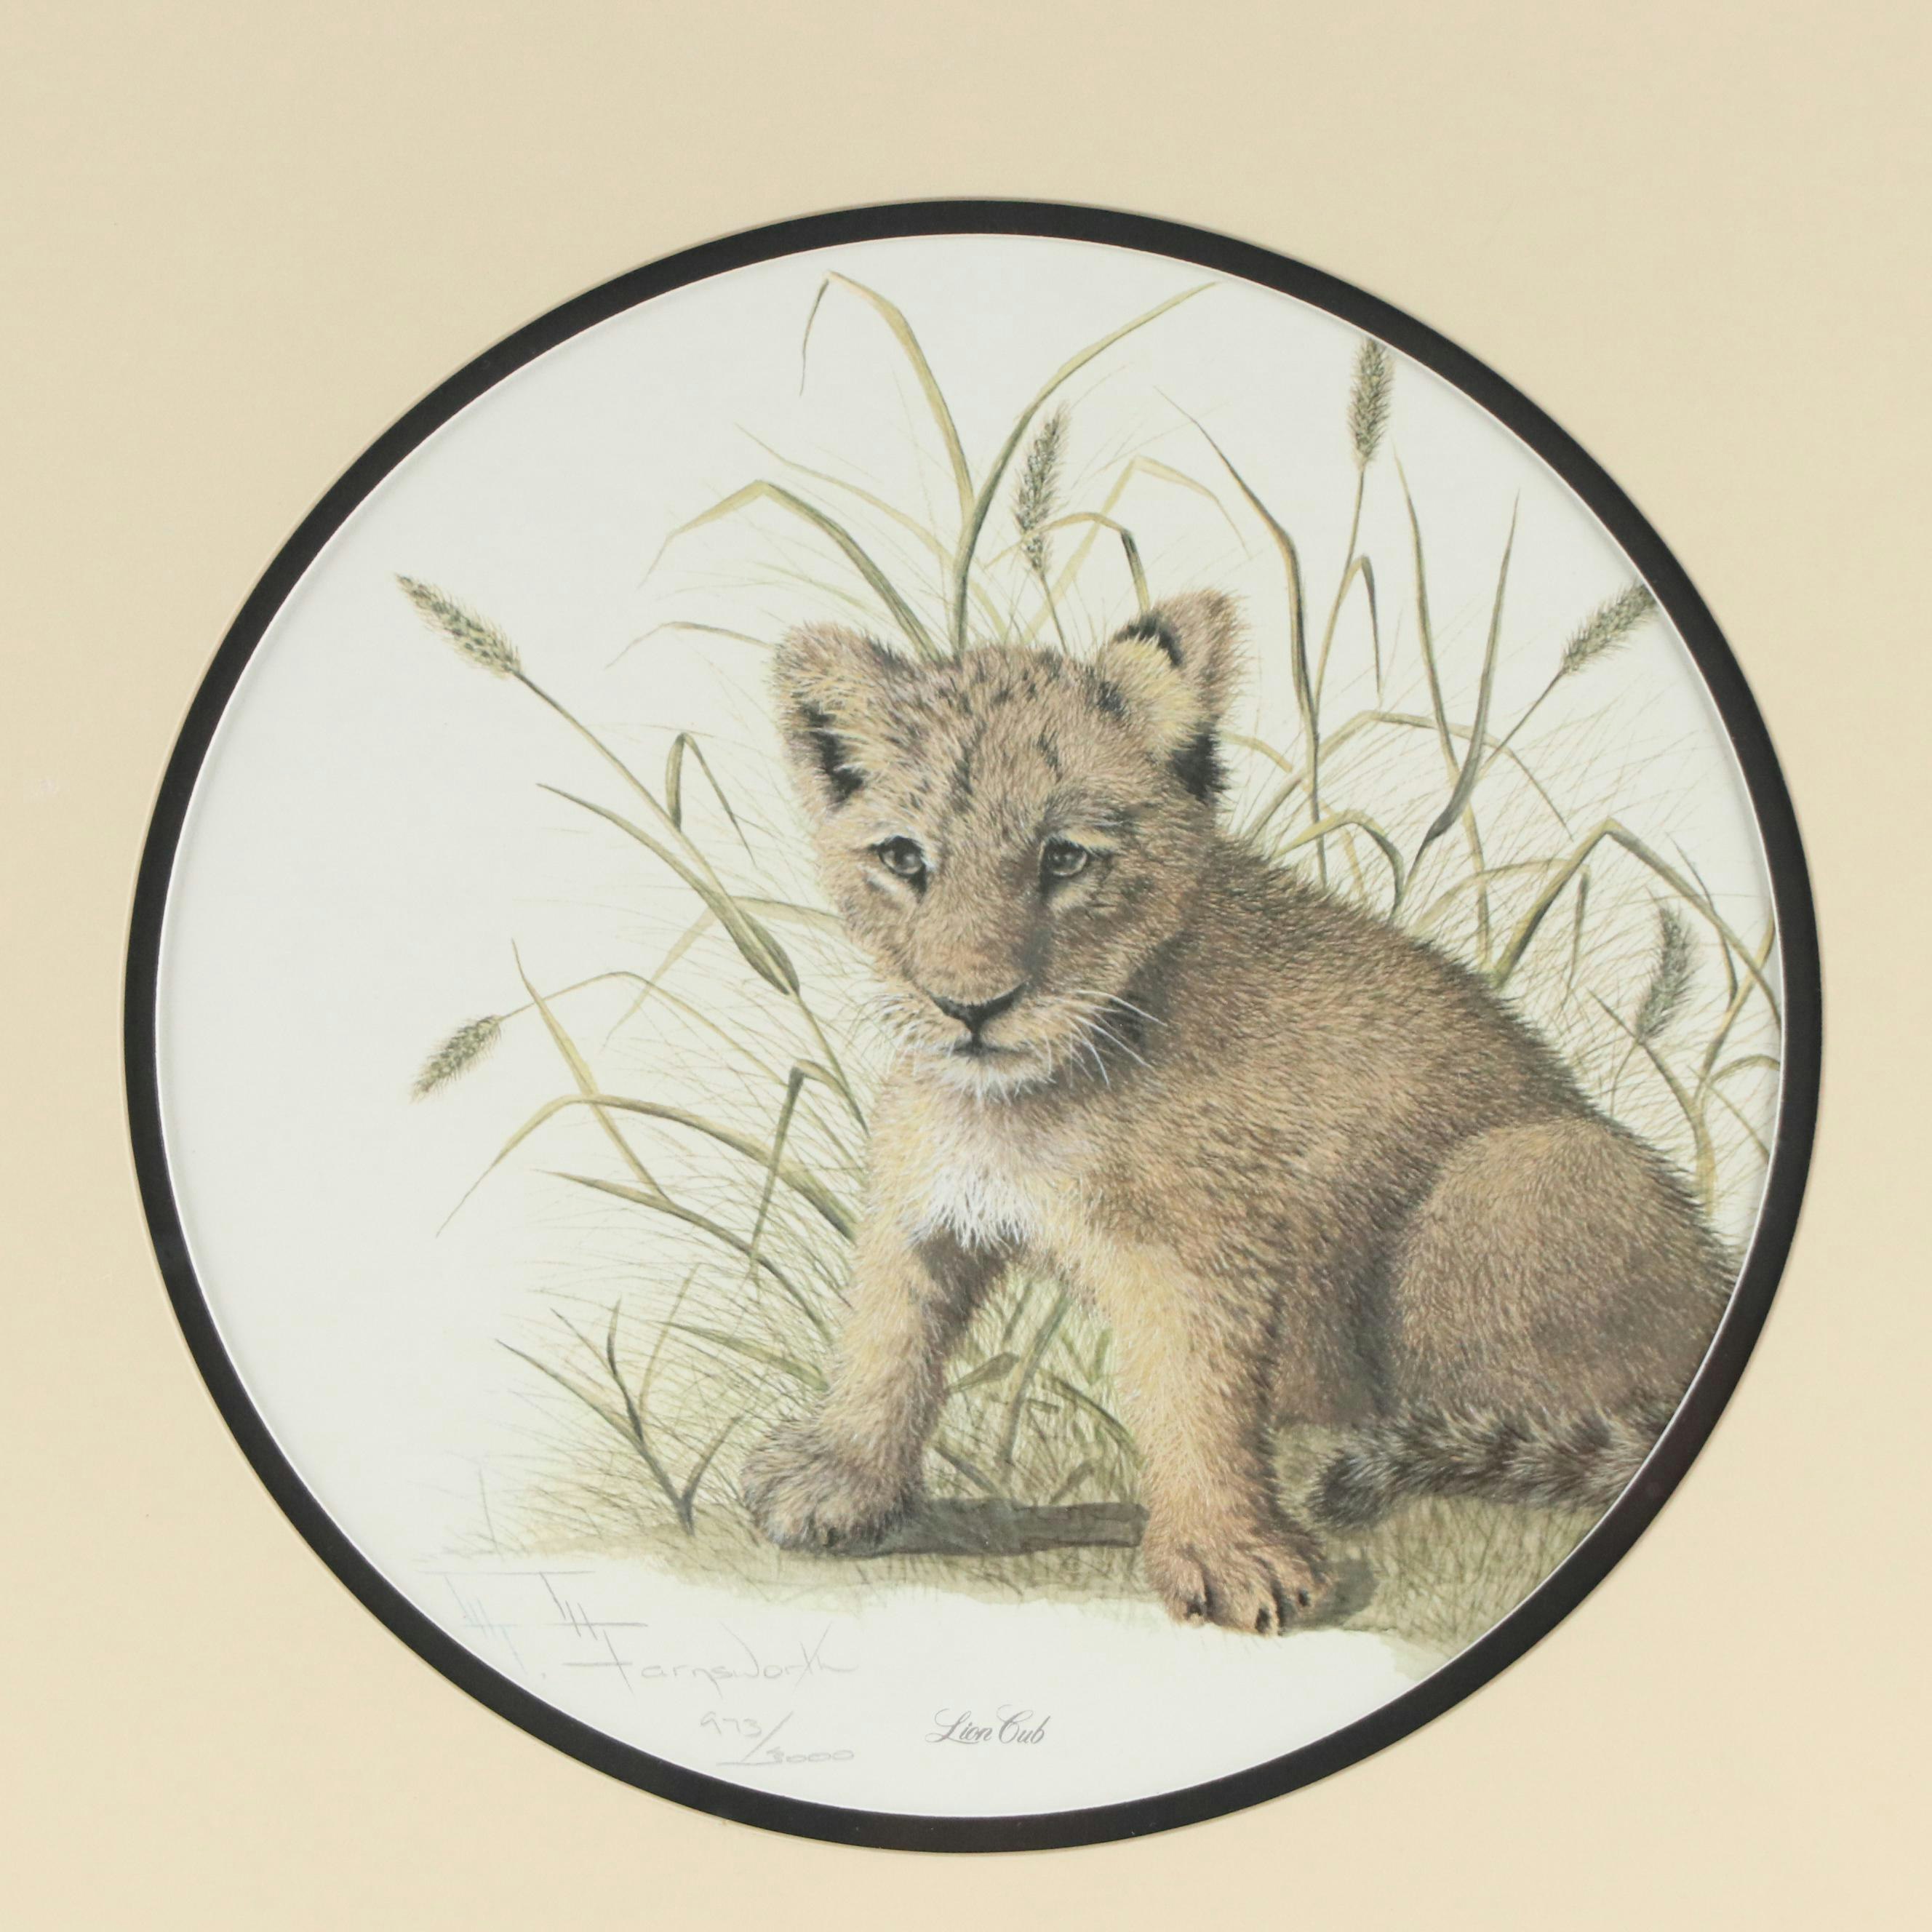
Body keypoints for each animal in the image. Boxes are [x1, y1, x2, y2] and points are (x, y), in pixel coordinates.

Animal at [742, 591, 1731, 1633]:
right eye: (902, 858)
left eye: (1065, 857)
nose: (970, 1007)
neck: (1022, 1096)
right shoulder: (922, 1204)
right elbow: (886, 1336)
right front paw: (841, 1476)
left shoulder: (1205, 1249)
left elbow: (1195, 1397)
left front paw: (1226, 1552)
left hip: (1510, 1181)